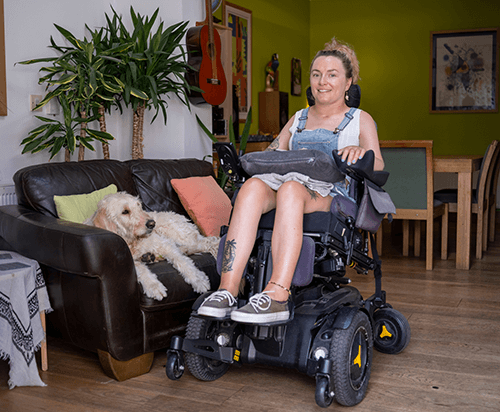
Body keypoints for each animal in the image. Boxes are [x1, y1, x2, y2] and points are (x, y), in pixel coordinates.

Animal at [85, 192, 220, 300]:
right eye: (125, 211)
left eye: (138, 206)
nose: (151, 224)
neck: (132, 241)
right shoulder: (128, 260)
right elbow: (141, 270)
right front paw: (153, 286)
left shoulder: (164, 244)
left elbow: (183, 262)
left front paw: (198, 279)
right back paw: (152, 257)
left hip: (176, 233)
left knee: (207, 242)